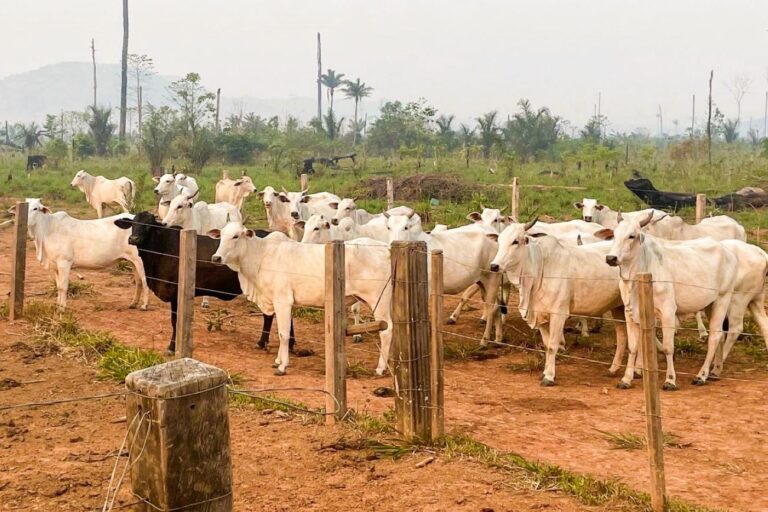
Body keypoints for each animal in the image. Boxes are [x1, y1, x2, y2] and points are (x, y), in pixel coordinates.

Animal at [15, 199, 148, 312]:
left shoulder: (64, 263)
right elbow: (58, 287)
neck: (47, 229)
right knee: (138, 281)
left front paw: (62, 309)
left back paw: (145, 305)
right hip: (132, 261)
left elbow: (63, 287)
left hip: (141, 261)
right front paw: (57, 306)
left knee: (145, 281)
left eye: (35, 208)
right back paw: (133, 303)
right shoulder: (56, 266)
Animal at [114, 210, 294, 354]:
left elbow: (175, 321)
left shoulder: (176, 294)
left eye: (148, 225)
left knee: (271, 315)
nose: (133, 239)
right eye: (133, 224)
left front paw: (172, 347)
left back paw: (265, 342)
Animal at [210, 224, 392, 376]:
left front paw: (282, 366)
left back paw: (380, 368)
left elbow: (283, 333)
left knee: (387, 330)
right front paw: (277, 360)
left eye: (235, 236)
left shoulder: (283, 301)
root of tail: (386, 249)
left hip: (378, 301)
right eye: (221, 235)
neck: (262, 255)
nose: (216, 258)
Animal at [488, 220, 628, 384]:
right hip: (618, 307)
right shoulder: (540, 315)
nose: (494, 266)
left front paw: (549, 377)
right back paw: (615, 369)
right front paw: (545, 372)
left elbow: (552, 346)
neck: (540, 268)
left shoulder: (558, 315)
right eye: (499, 240)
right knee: (623, 337)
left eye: (515, 241)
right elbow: (546, 344)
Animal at [600, 211, 736, 388]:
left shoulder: (668, 312)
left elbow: (668, 347)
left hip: (723, 298)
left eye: (631, 236)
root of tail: (726, 250)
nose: (611, 258)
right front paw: (626, 378)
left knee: (715, 335)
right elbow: (633, 347)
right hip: (709, 304)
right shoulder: (630, 313)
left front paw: (670, 380)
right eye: (614, 235)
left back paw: (701, 375)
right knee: (720, 336)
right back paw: (715, 371)